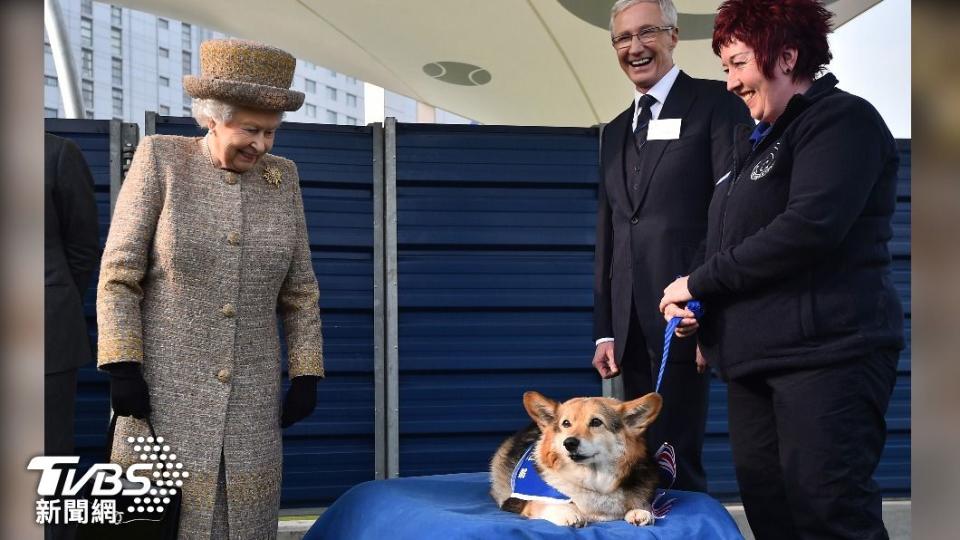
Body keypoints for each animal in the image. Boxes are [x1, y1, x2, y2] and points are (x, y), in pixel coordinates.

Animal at [492, 392, 664, 528]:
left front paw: (639, 511)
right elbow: (544, 502)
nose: (569, 443)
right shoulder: (520, 501)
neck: (592, 481)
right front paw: (569, 513)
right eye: (566, 423)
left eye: (596, 422)